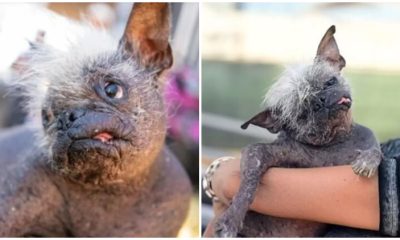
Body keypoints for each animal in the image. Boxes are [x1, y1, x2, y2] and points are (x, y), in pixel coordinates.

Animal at [212, 25, 382, 237]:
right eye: (302, 112)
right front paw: (232, 218)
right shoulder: (259, 152)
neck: (334, 141)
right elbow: (248, 184)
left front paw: (367, 160)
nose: (319, 100)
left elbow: (377, 152)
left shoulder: (370, 140)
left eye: (330, 82)